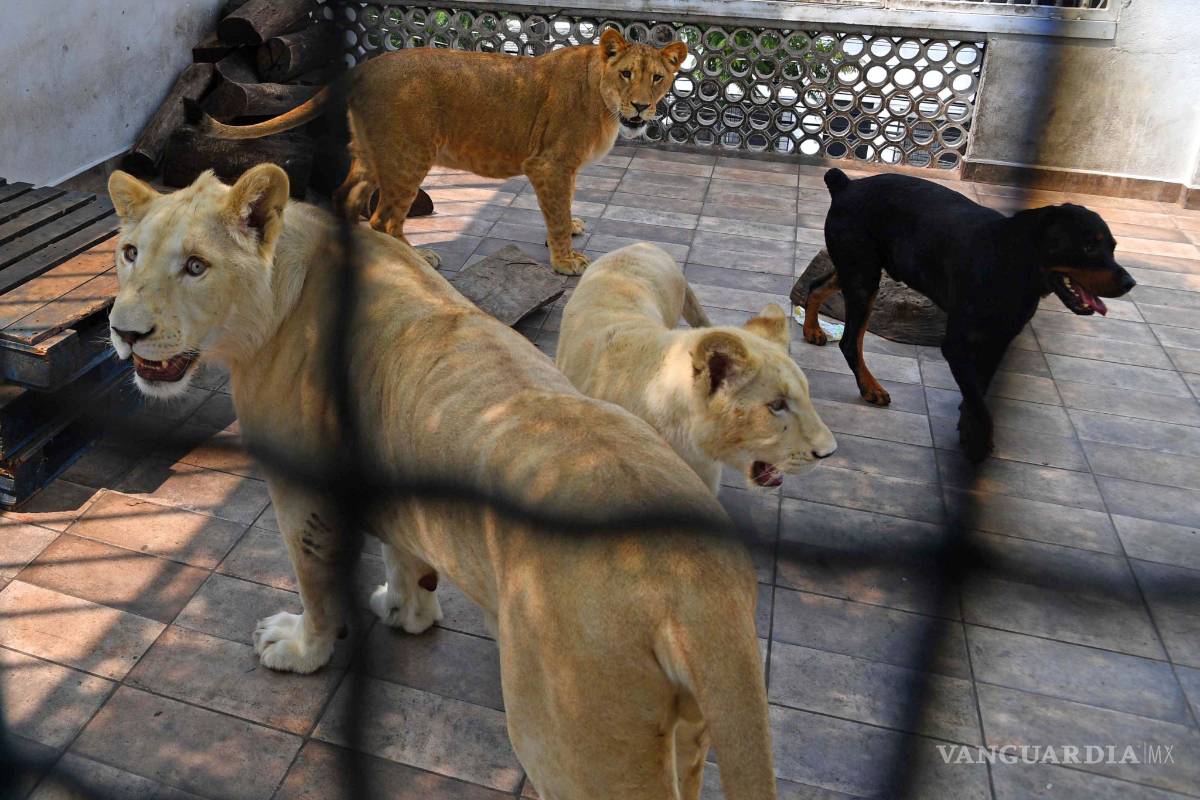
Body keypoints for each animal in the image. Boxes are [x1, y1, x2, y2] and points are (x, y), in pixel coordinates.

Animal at [105, 165, 777, 800]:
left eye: (196, 265)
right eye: (130, 252)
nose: (124, 332)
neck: (277, 301)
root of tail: (697, 584)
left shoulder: (304, 495)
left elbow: (316, 586)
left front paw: (301, 649)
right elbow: (403, 552)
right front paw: (407, 611)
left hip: (576, 749)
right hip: (689, 733)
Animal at [189, 29, 687, 276]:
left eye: (657, 78)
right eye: (626, 74)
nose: (640, 106)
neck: (601, 96)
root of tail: (364, 67)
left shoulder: (561, 168)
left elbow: (561, 209)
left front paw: (568, 233)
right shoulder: (548, 163)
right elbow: (557, 212)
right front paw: (564, 262)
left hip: (374, 153)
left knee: (346, 196)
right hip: (409, 156)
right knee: (385, 218)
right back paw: (417, 259)